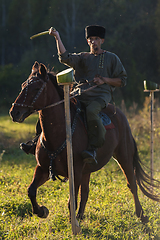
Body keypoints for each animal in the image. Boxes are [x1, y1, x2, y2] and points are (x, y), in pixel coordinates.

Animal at [9, 61, 159, 224]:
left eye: (36, 88)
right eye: (23, 85)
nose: (14, 112)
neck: (58, 135)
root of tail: (120, 114)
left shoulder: (75, 171)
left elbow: (71, 201)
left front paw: (71, 223)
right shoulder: (43, 169)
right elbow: (31, 190)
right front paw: (42, 211)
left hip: (124, 156)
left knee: (132, 183)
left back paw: (141, 215)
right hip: (87, 170)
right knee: (86, 192)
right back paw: (80, 216)